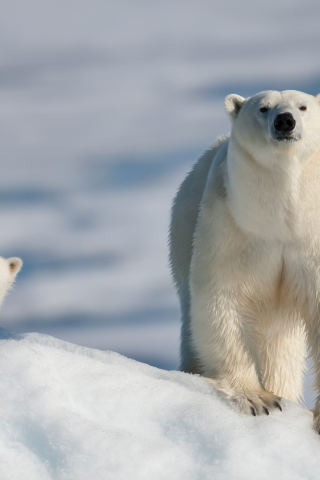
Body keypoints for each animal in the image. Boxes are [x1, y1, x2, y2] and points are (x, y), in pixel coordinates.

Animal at [170, 90, 320, 432]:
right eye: (263, 108)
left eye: (303, 107)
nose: (285, 121)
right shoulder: (232, 225)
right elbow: (222, 297)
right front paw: (258, 399)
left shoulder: (311, 242)